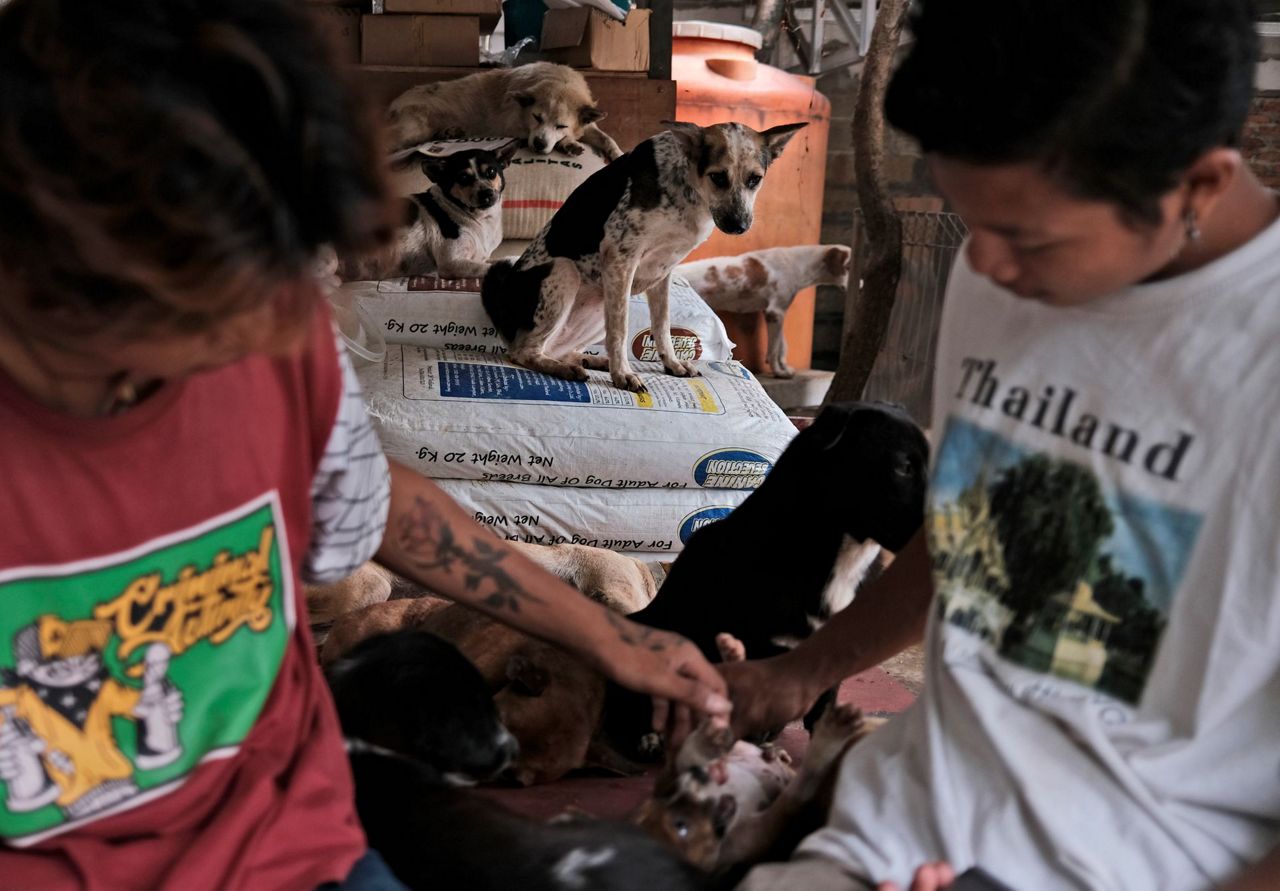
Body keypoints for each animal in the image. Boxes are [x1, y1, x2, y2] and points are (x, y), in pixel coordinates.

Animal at [345, 144, 519, 281]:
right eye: (463, 177)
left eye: (491, 172)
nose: (486, 193)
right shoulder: (451, 263)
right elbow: (498, 265)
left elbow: (497, 261)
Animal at [381, 61, 622, 160]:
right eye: (537, 117)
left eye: (561, 124)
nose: (539, 145)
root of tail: (395, 102)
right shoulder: (513, 129)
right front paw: (568, 144)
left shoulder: (588, 125)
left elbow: (607, 138)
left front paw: (617, 154)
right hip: (414, 128)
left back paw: (451, 132)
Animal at [483, 120, 803, 391]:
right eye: (718, 177)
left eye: (755, 179)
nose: (739, 226)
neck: (688, 190)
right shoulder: (620, 258)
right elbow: (621, 331)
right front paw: (623, 374)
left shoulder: (662, 270)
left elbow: (662, 325)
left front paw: (671, 364)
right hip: (566, 273)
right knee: (524, 352)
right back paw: (568, 368)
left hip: (599, 302)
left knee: (555, 347)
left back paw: (588, 360)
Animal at [675, 241, 855, 376]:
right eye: (847, 267)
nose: (857, 287)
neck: (798, 264)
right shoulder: (774, 313)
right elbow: (774, 349)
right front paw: (779, 372)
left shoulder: (775, 313)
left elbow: (782, 344)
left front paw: (784, 368)